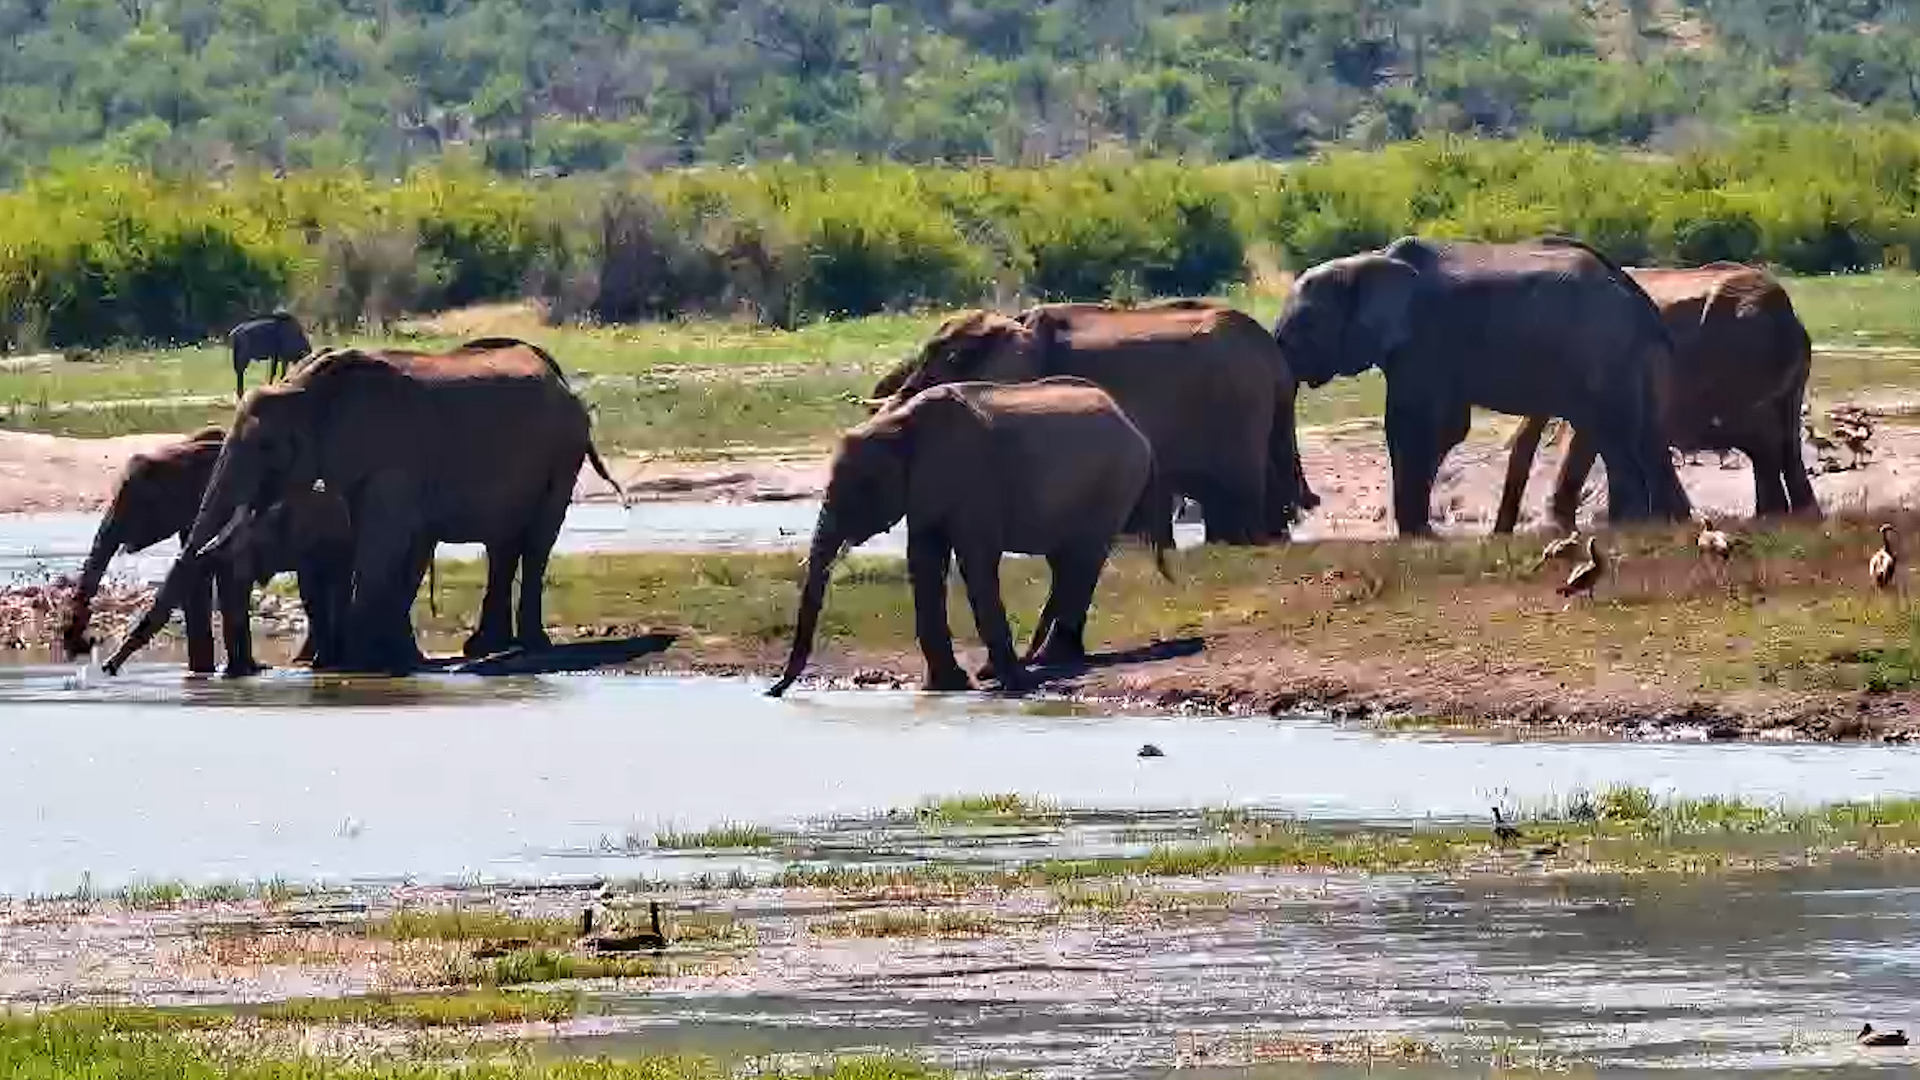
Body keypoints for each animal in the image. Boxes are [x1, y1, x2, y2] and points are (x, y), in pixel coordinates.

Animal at [106, 337, 624, 676]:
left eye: (269, 447)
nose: (106, 667)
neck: (306, 388)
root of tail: (561, 377)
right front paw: (358, 660)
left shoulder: (394, 459)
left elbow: (380, 544)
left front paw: (355, 666)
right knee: (502, 545)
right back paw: (486, 647)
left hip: (564, 451)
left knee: (536, 541)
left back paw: (527, 645)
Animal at [768, 376, 1172, 698]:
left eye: (859, 490)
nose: (772, 691)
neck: (897, 426)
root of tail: (1134, 425)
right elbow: (924, 562)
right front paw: (948, 686)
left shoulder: (970, 480)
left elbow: (976, 563)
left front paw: (1012, 685)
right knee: (1067, 565)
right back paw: (1038, 660)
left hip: (1113, 484)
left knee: (1082, 560)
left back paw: (1044, 660)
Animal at [1274, 235, 1691, 536]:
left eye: (1304, 325)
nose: (1310, 502)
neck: (1362, 262)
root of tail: (1641, 301)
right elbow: (1444, 428)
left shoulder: (1424, 340)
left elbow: (1417, 423)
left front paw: (1416, 536)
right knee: (1639, 436)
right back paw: (1671, 523)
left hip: (1602, 351)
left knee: (1616, 435)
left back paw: (1634, 526)